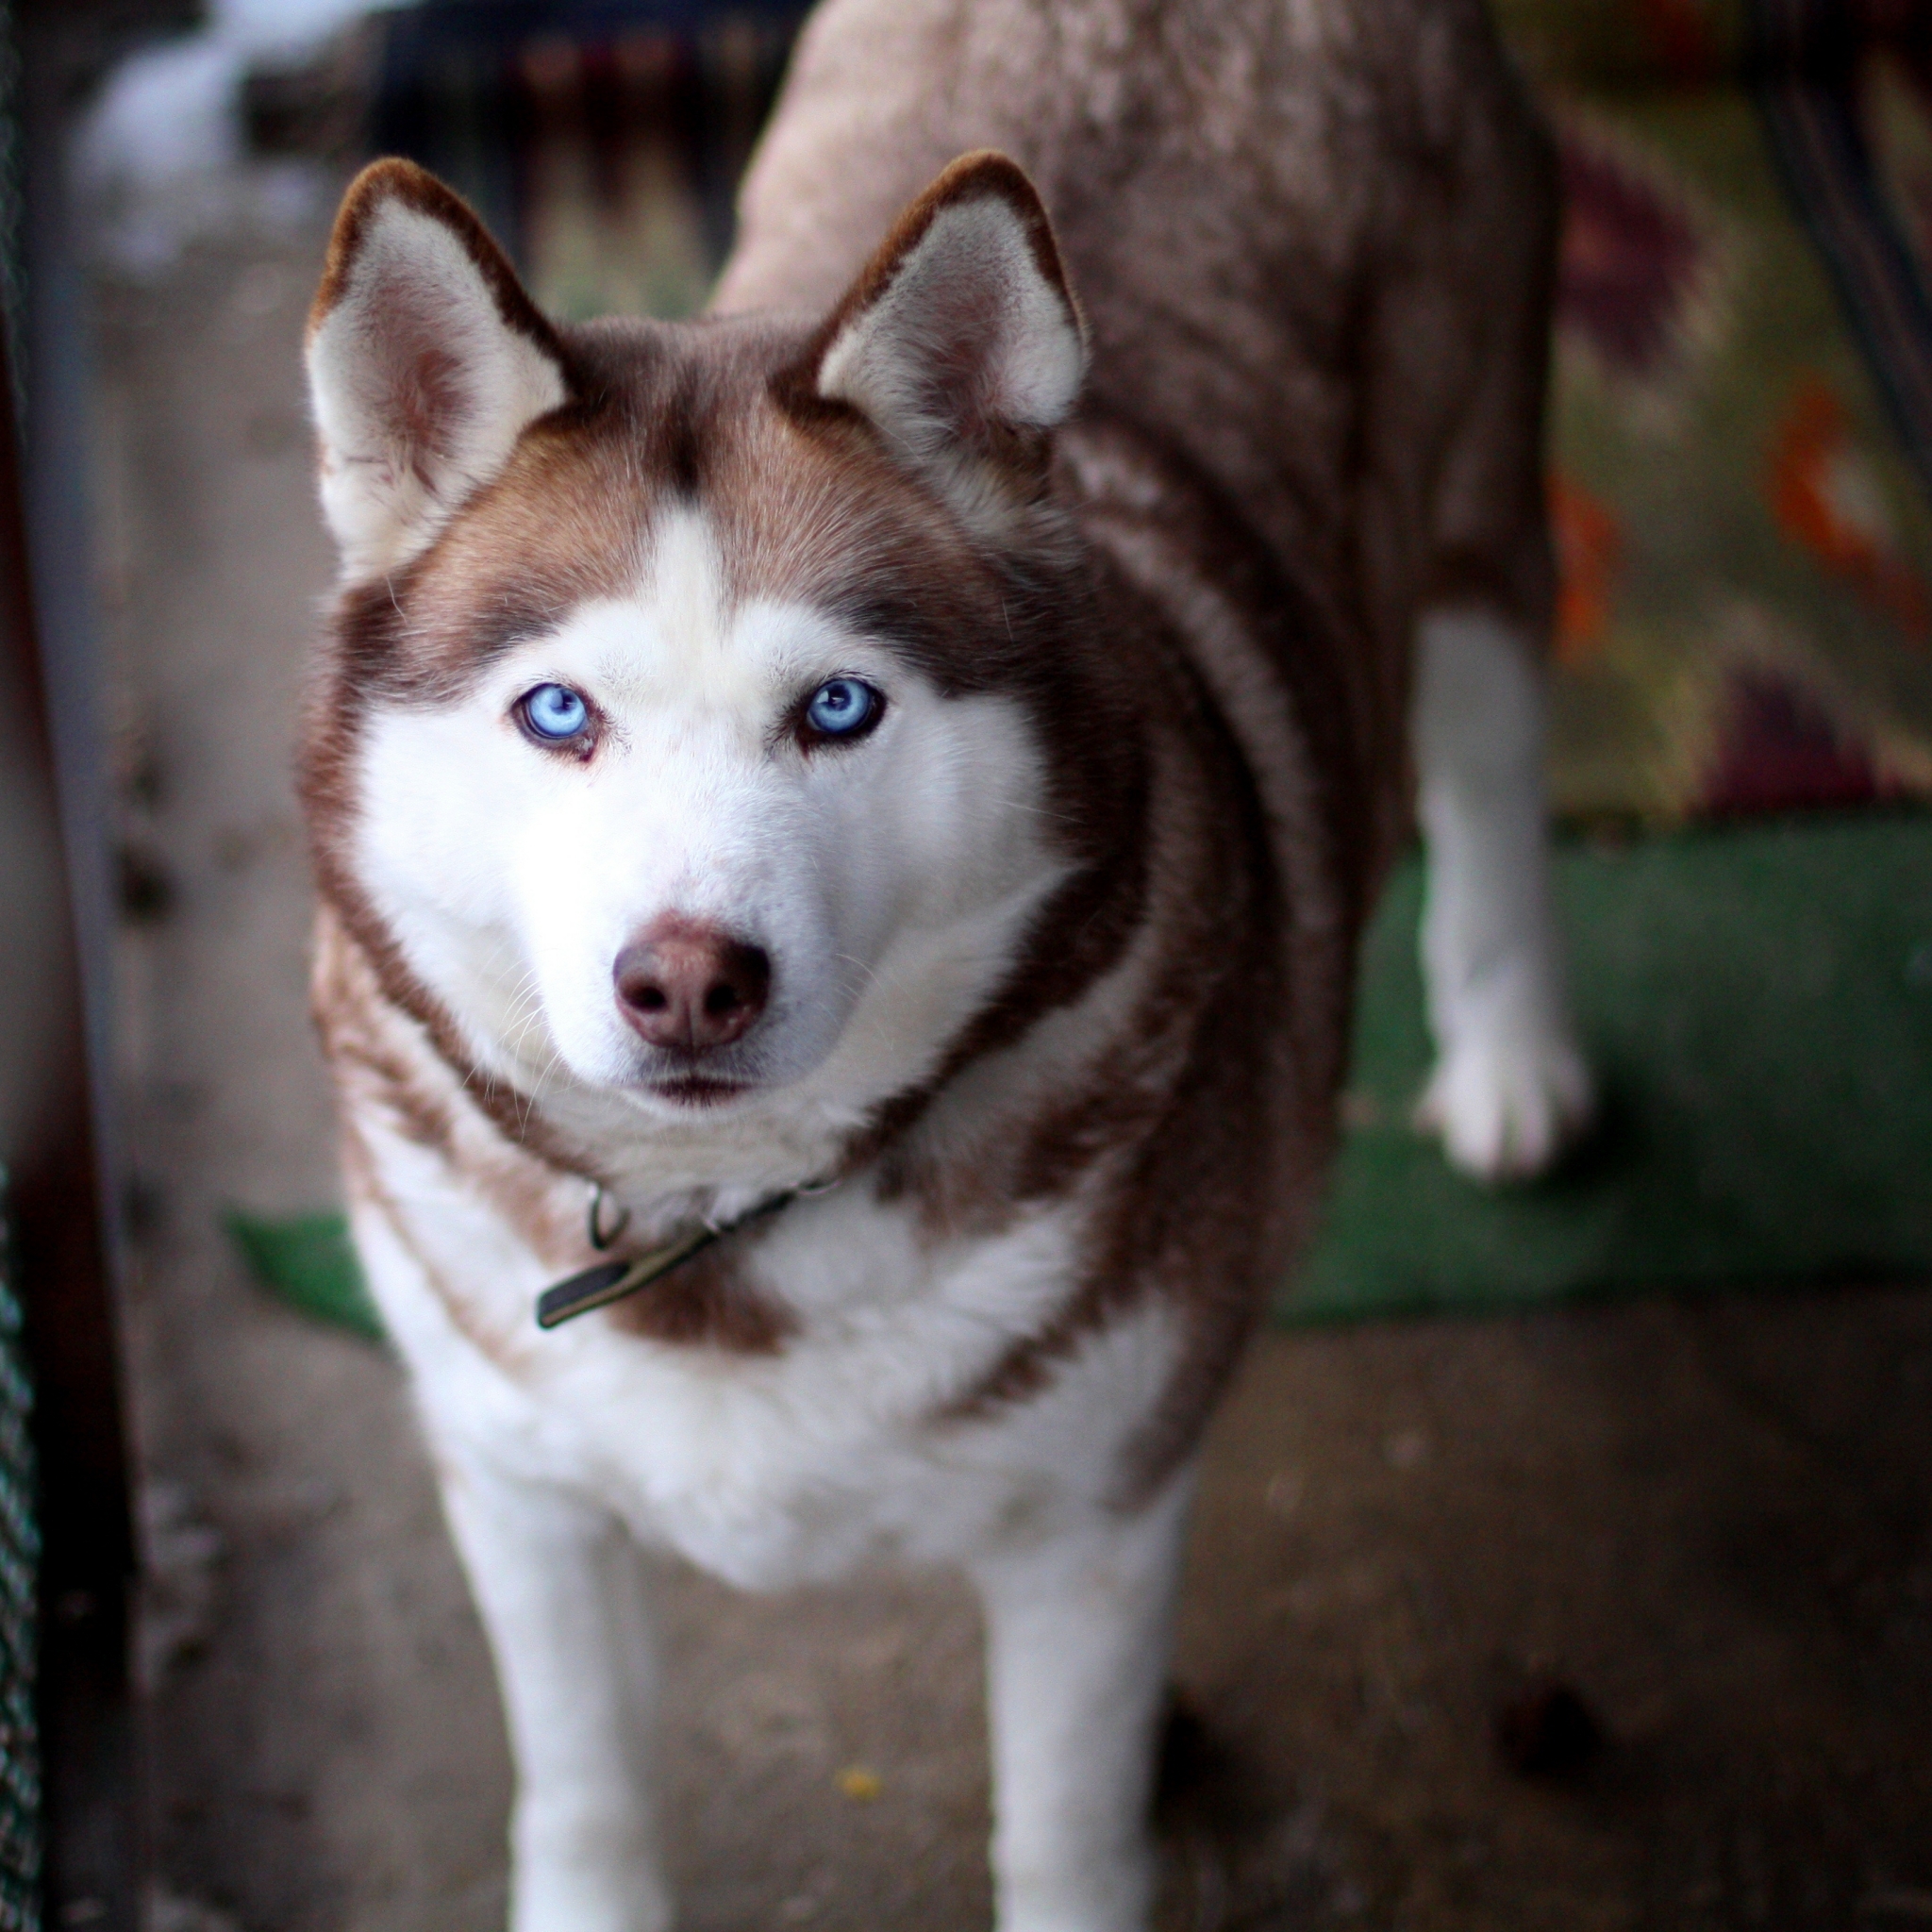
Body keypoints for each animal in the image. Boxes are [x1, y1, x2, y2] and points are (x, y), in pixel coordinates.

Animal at [301, 4, 1591, 1932]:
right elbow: (587, 1794)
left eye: (837, 707)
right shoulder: (517, 1485)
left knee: (1492, 757)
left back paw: (1513, 1055)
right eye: (558, 713)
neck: (729, 1228)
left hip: (1478, 501)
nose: (688, 981)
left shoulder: (1093, 1524)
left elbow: (1062, 1836)